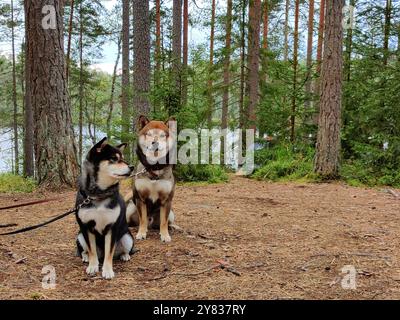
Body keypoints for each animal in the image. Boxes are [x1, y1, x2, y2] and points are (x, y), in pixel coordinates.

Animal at [76, 139, 135, 278]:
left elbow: (109, 252)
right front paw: (92, 266)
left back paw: (125, 255)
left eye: (122, 158)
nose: (132, 167)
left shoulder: (112, 227)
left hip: (127, 237)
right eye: (114, 159)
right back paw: (86, 257)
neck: (99, 194)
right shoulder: (86, 227)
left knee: (121, 251)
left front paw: (107, 270)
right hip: (80, 236)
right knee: (86, 251)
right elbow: (92, 251)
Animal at [125, 116, 175, 244]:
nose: (155, 142)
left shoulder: (166, 200)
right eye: (149, 134)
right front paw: (141, 233)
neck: (154, 167)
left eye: (163, 135)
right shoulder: (140, 199)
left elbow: (164, 221)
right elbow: (142, 219)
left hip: (172, 214)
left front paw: (165, 235)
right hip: (130, 208)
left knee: (165, 222)